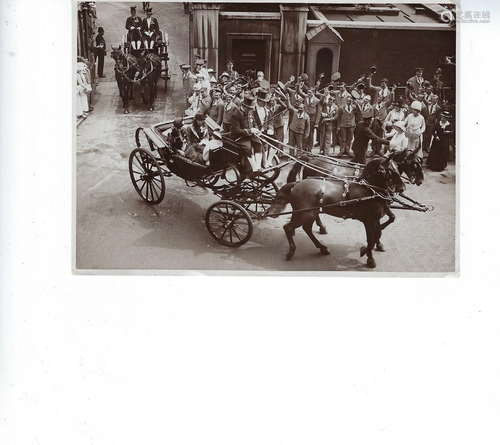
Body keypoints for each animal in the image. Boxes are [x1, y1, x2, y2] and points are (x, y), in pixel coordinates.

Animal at [266, 156, 406, 268]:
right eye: (390, 170)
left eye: (399, 169)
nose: (402, 188)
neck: (369, 190)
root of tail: (296, 183)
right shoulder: (368, 221)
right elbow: (371, 240)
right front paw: (369, 259)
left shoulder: (375, 219)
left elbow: (377, 233)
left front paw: (366, 249)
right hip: (305, 214)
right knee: (288, 227)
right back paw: (291, 251)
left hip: (306, 213)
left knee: (306, 228)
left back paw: (322, 247)